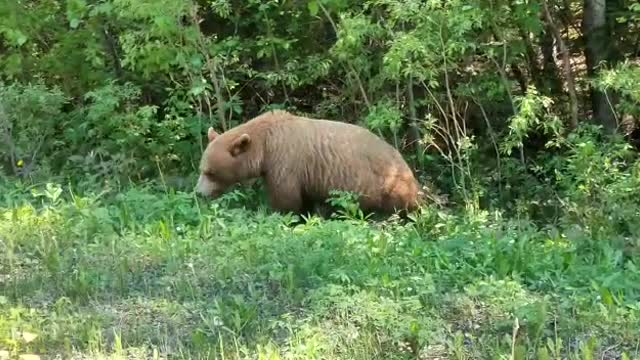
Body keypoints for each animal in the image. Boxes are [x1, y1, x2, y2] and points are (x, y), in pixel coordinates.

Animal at [195, 109, 424, 215]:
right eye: (202, 169)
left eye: (210, 172)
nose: (198, 193)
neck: (265, 146)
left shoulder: (284, 162)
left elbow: (286, 199)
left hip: (387, 185)